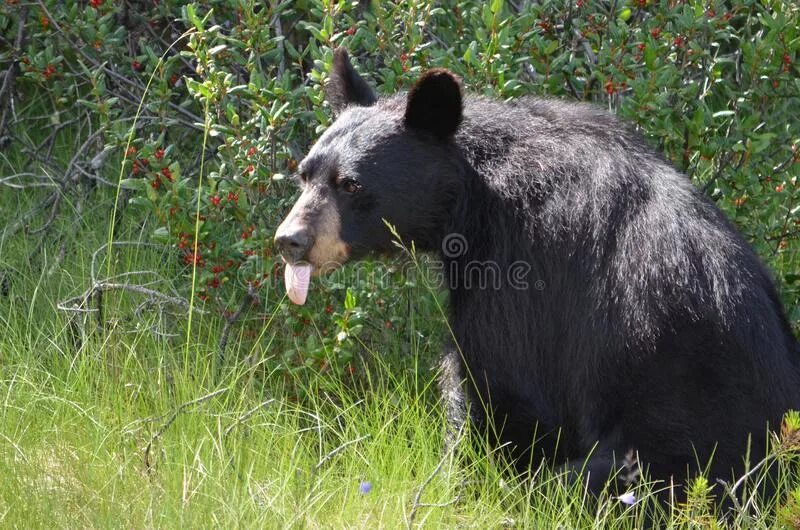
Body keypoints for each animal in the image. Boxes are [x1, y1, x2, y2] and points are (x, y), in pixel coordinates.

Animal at [276, 48, 800, 496]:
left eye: (350, 185)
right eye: (304, 174)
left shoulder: (522, 267)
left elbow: (498, 382)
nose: (290, 241)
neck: (474, 196)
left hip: (675, 448)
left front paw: (456, 482)